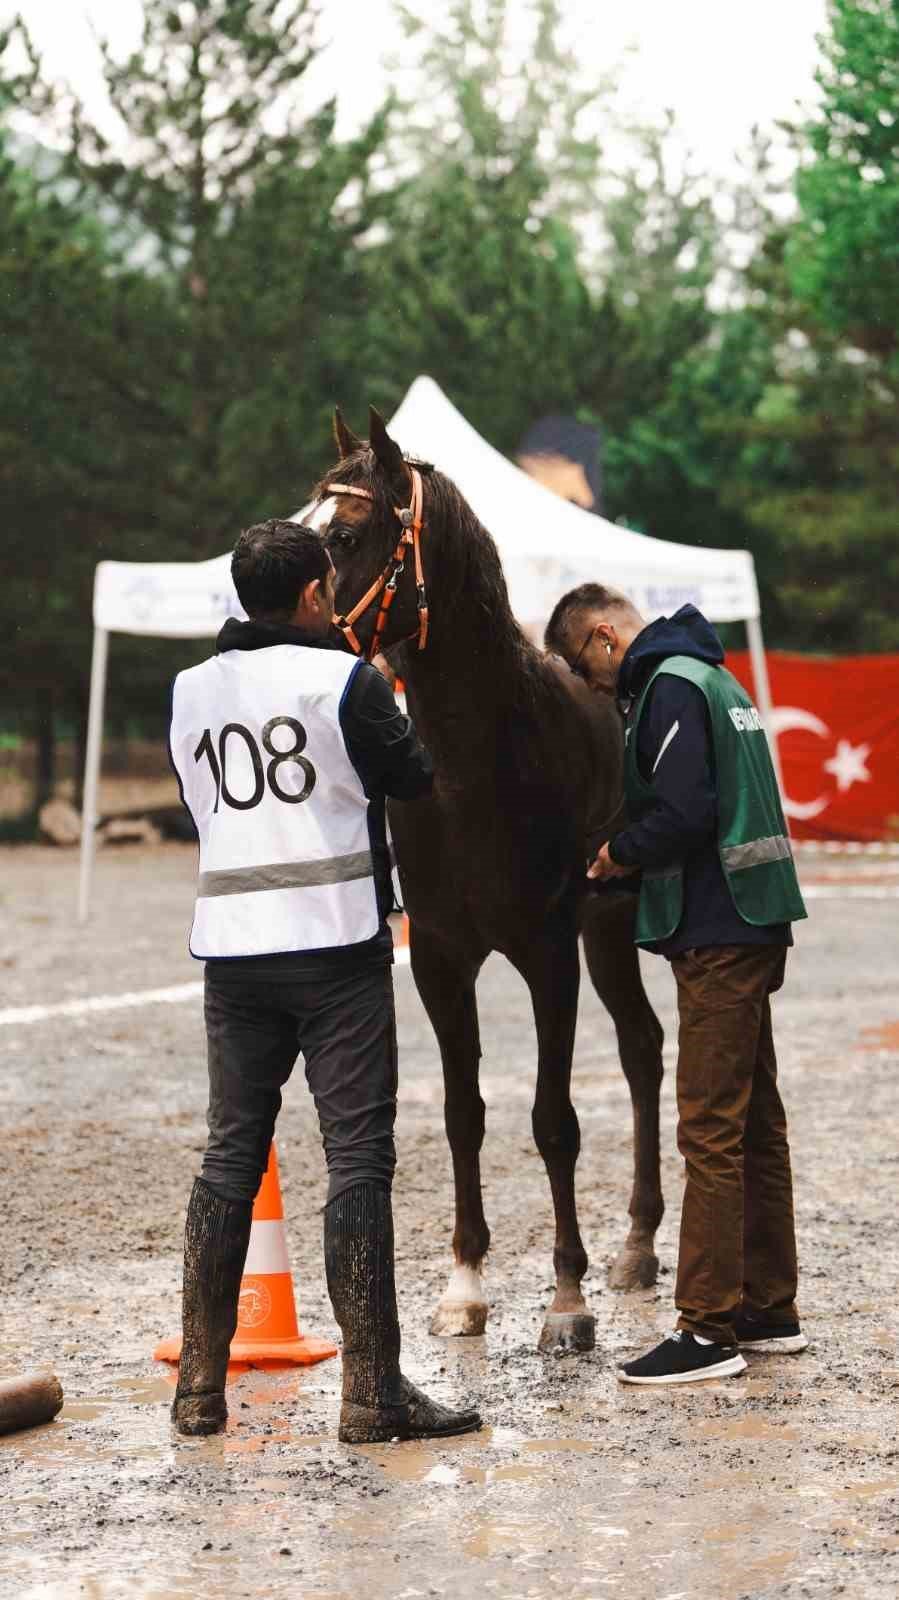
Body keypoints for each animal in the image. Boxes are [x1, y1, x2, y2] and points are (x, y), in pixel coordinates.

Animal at [316, 409, 665, 1350]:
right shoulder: (441, 960)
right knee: (641, 1046)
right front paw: (464, 1285)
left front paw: (566, 1298)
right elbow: (461, 1115)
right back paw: (635, 1241)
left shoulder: (546, 952)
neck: (476, 765)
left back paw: (633, 1244)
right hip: (603, 934)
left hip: (604, 927)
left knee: (641, 1053)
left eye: (346, 534)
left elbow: (553, 1122)